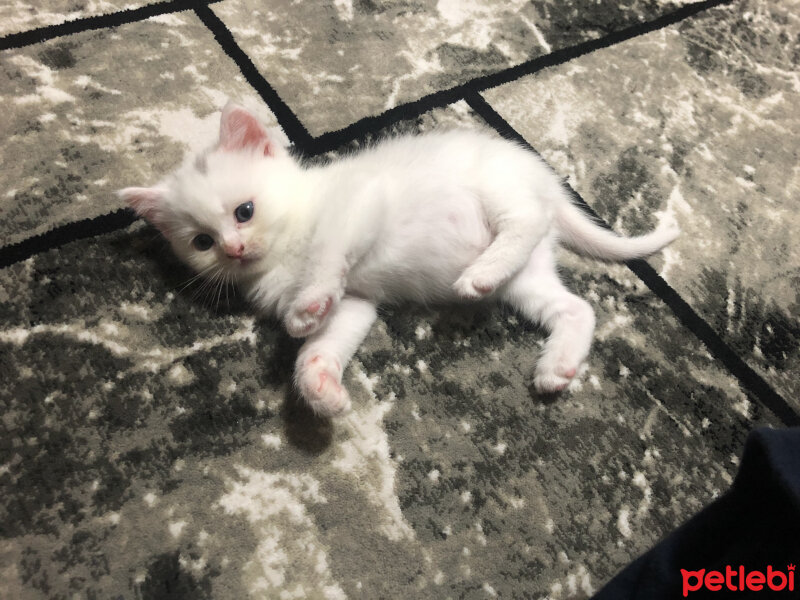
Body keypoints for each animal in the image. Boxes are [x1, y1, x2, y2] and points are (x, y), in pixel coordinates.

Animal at [120, 101, 680, 418]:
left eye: (244, 211)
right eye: (202, 243)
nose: (234, 249)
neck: (284, 250)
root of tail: (547, 180)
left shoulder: (359, 203)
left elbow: (327, 256)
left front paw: (305, 308)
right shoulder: (357, 302)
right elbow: (324, 344)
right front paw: (320, 387)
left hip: (500, 188)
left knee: (523, 220)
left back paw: (478, 275)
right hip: (528, 280)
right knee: (576, 307)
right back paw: (557, 365)